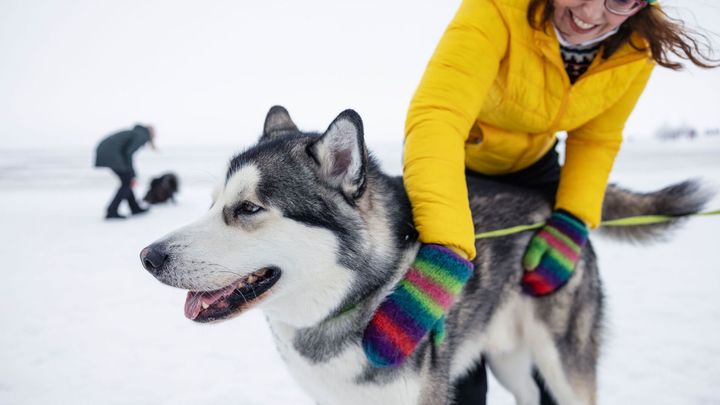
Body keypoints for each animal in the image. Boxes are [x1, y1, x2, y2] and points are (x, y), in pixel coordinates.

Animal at [139, 106, 708, 404]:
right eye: (213, 203)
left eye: (249, 208)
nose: (148, 256)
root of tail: (554, 210)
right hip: (508, 359)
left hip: (564, 365)